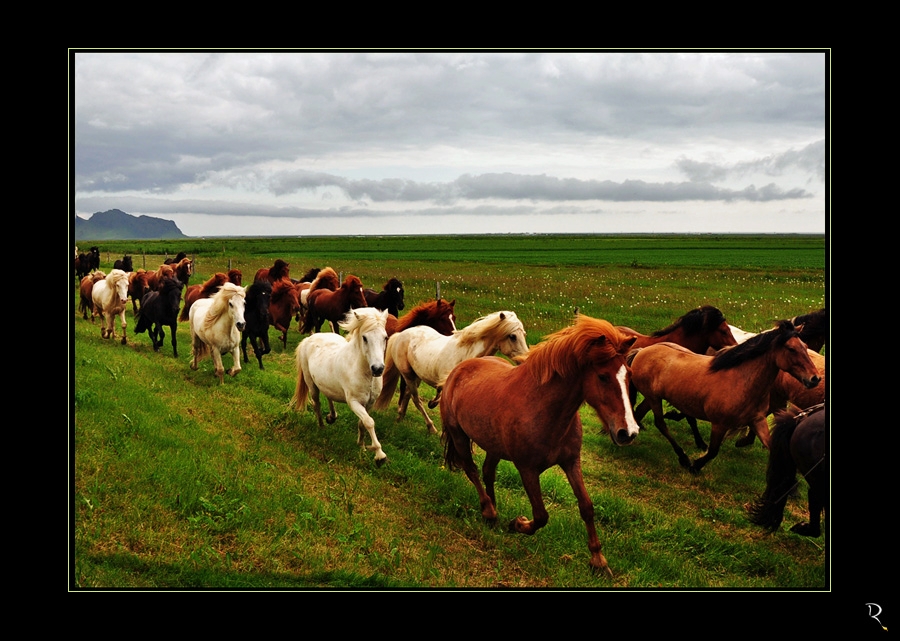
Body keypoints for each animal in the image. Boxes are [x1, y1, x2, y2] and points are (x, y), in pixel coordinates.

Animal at [294, 306, 388, 462]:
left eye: (385, 337)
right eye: (365, 338)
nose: (378, 369)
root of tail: (309, 338)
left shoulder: (369, 403)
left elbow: (363, 423)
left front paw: (361, 446)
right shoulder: (354, 402)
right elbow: (369, 422)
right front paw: (379, 455)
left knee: (328, 396)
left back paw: (331, 417)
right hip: (311, 384)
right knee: (317, 403)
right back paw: (322, 426)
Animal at [372, 312, 528, 436]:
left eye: (524, 334)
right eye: (513, 336)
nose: (525, 359)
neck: (467, 354)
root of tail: (400, 335)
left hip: (416, 377)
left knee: (407, 395)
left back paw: (400, 418)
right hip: (408, 375)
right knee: (416, 399)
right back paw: (431, 427)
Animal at [442, 316, 640, 576]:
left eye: (628, 375)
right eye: (603, 376)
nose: (628, 432)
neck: (542, 409)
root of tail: (458, 370)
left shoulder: (571, 462)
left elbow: (586, 507)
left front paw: (598, 560)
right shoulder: (527, 469)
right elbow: (541, 515)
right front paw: (518, 523)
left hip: (494, 447)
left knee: (487, 472)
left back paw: (493, 512)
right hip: (459, 437)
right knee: (472, 470)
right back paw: (489, 511)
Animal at [628, 322, 820, 472]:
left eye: (805, 347)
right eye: (791, 349)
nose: (815, 378)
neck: (741, 381)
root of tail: (641, 351)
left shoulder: (757, 420)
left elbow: (771, 445)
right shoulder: (719, 424)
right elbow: (713, 451)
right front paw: (695, 466)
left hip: (652, 398)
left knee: (639, 412)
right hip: (653, 398)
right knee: (660, 423)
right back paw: (683, 458)